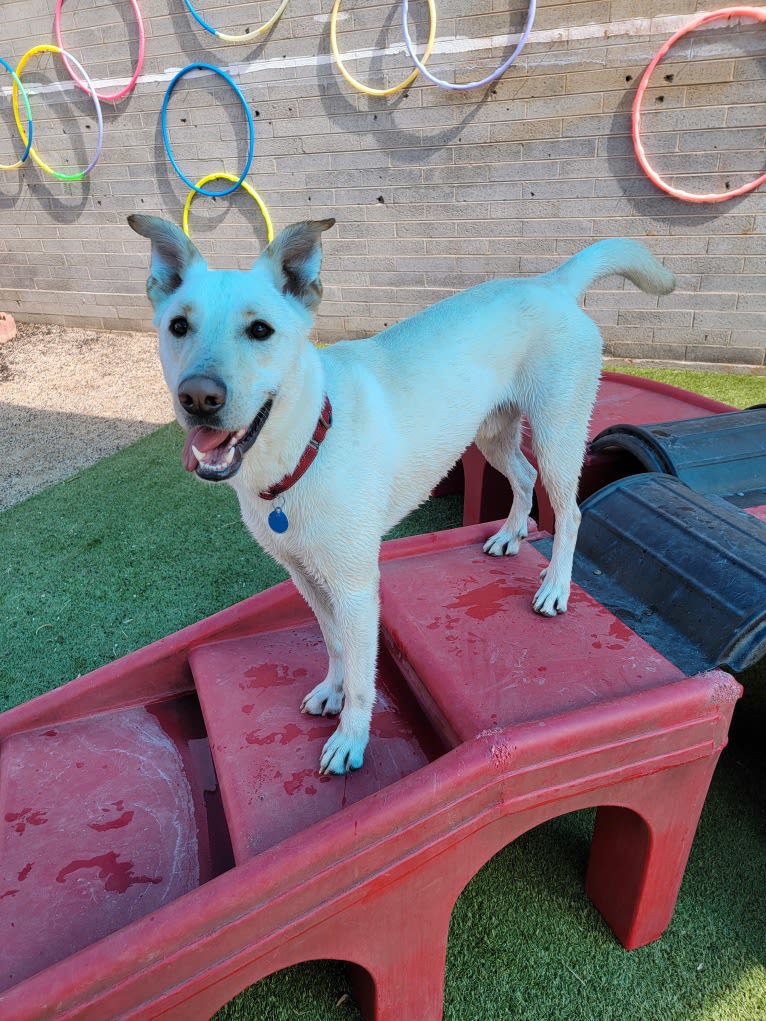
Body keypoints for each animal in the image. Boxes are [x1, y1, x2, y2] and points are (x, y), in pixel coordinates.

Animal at [129, 215, 674, 771]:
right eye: (178, 326)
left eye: (260, 330)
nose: (198, 397)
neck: (307, 444)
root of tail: (551, 282)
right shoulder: (304, 575)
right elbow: (334, 645)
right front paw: (331, 690)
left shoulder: (355, 586)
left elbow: (362, 673)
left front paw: (351, 738)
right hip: (492, 432)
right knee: (522, 477)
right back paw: (510, 535)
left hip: (557, 433)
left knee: (569, 514)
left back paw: (556, 587)